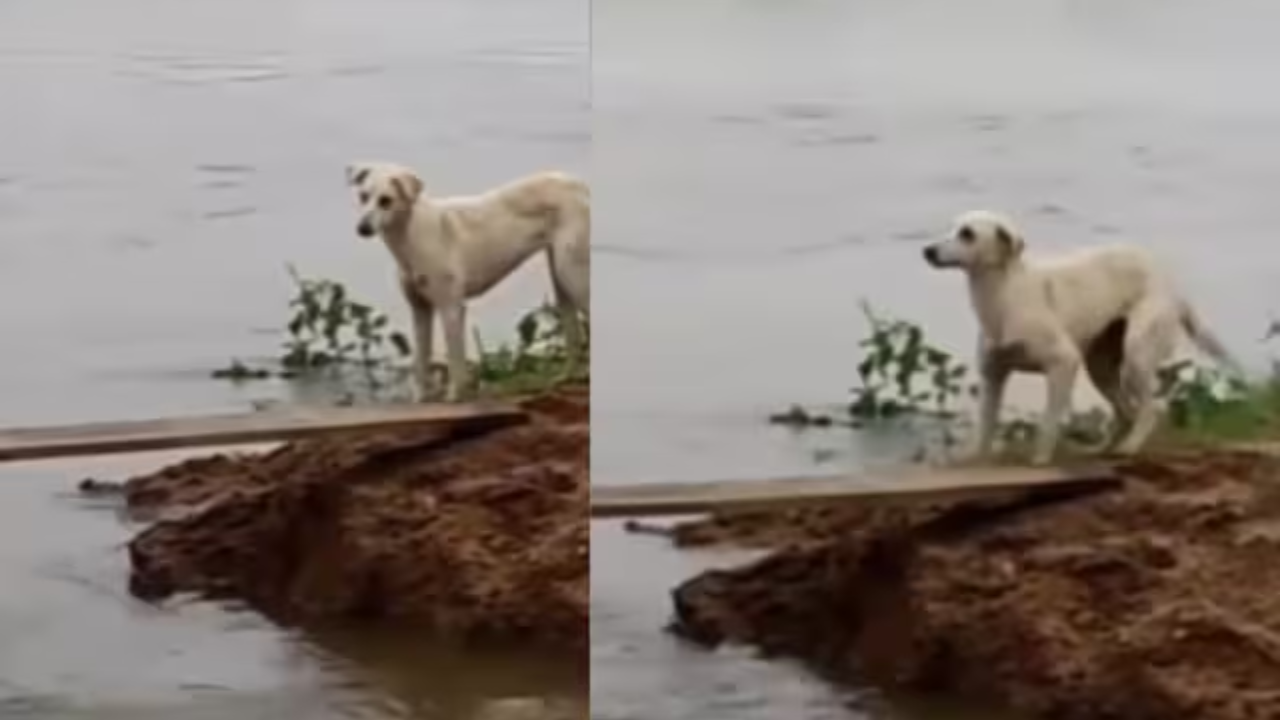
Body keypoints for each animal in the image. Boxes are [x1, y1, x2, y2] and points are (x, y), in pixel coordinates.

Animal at [348, 158, 591, 399]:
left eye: (386, 200)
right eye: (363, 196)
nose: (362, 228)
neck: (413, 235)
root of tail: (580, 185)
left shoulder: (452, 309)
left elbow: (456, 367)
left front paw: (454, 398)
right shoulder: (420, 311)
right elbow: (420, 364)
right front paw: (420, 399)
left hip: (573, 274)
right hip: (561, 279)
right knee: (574, 336)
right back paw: (563, 379)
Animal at [926, 207, 1233, 466]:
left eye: (968, 234)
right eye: (952, 227)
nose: (926, 250)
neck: (1005, 296)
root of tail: (1173, 287)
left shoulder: (1063, 362)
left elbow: (1049, 420)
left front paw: (1040, 459)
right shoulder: (993, 375)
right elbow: (986, 425)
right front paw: (976, 459)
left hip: (1136, 356)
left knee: (1150, 409)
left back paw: (1129, 448)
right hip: (1100, 367)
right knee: (1125, 413)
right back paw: (1101, 450)